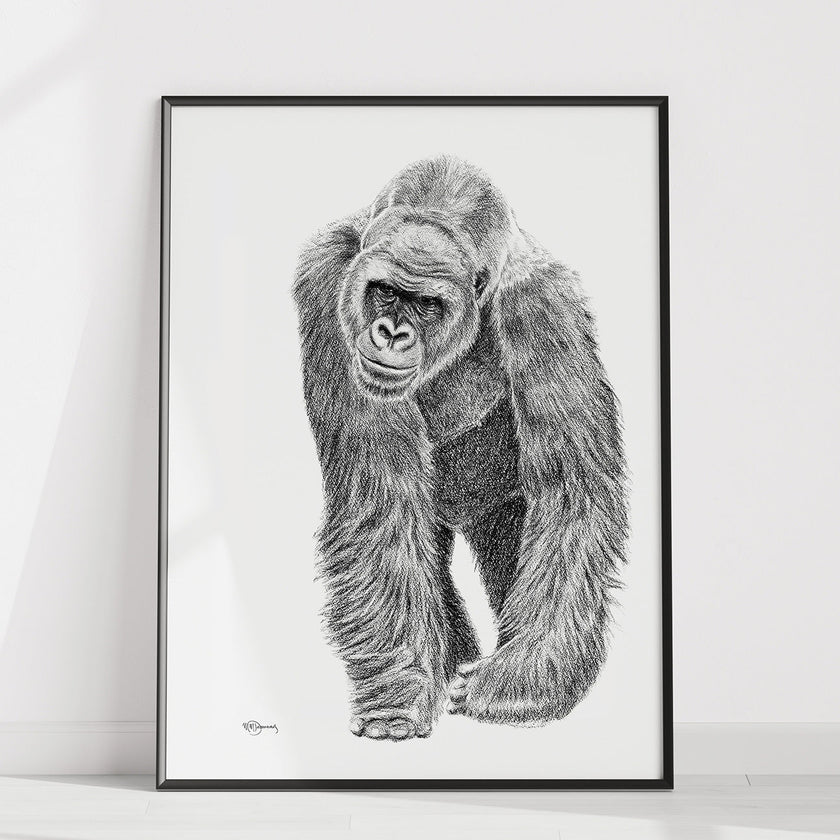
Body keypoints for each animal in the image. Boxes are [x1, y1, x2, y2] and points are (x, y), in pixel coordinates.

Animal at [293, 155, 627, 741]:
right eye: (385, 291)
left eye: (427, 303)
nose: (390, 333)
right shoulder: (327, 277)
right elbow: (383, 503)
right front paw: (399, 694)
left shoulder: (545, 308)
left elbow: (570, 493)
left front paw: (520, 686)